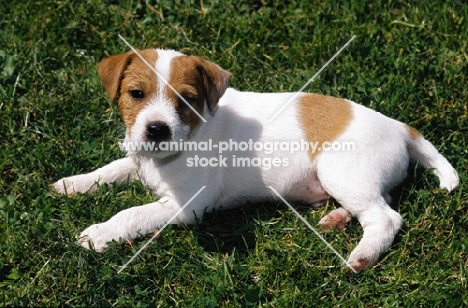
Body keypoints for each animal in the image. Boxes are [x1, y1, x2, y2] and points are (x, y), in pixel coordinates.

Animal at [52, 48, 458, 272]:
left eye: (187, 100)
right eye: (136, 94)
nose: (156, 130)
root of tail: (400, 127)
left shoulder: (185, 206)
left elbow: (131, 213)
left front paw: (99, 234)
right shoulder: (139, 160)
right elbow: (112, 169)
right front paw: (74, 183)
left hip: (342, 172)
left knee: (386, 218)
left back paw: (362, 256)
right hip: (360, 181)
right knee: (381, 201)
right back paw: (339, 218)